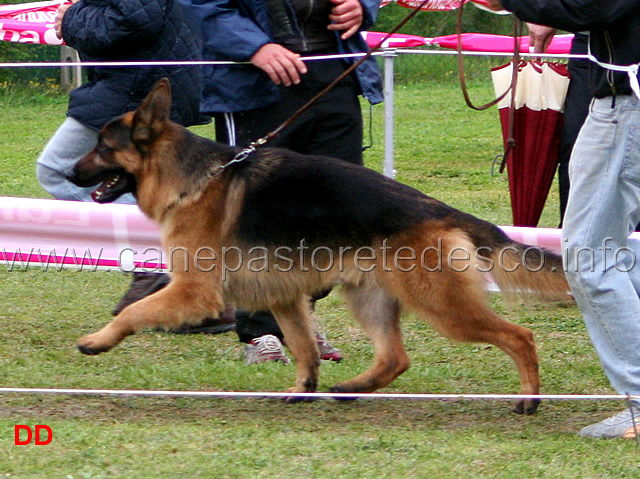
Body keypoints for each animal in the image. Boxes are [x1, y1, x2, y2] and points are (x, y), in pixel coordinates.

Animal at [70, 80, 568, 414]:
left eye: (102, 146)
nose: (72, 172)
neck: (193, 178)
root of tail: (442, 211)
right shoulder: (284, 297)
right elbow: (304, 348)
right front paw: (303, 388)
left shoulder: (193, 291)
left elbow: (135, 312)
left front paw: (98, 340)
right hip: (370, 299)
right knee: (396, 358)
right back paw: (351, 388)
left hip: (442, 307)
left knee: (519, 336)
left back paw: (530, 399)